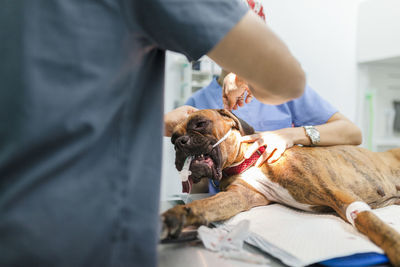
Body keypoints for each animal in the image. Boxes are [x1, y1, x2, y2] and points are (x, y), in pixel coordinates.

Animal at [160, 109, 400, 266]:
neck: (251, 161)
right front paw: (175, 216)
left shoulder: (337, 193)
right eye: (172, 138)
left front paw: (393, 245)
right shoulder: (238, 197)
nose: (179, 142)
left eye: (200, 123)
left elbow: (373, 224)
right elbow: (204, 205)